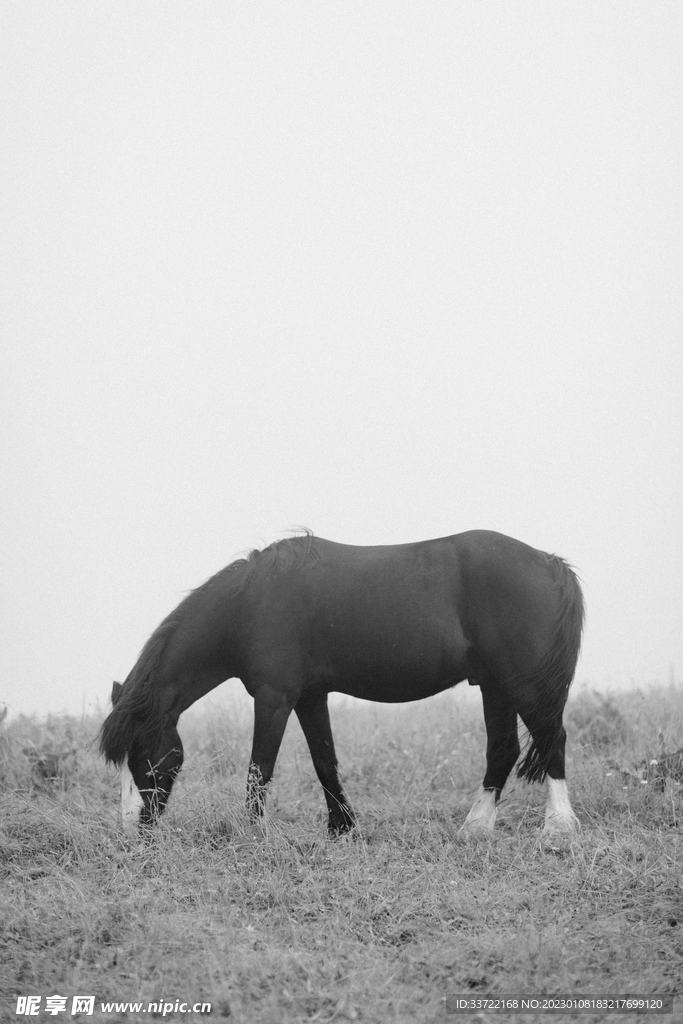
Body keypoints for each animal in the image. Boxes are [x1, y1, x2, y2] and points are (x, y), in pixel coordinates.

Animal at [100, 530, 584, 842]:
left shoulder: (274, 698)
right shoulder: (310, 697)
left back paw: (557, 827)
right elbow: (324, 761)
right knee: (503, 750)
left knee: (552, 739)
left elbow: (260, 769)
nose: (132, 832)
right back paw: (475, 829)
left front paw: (253, 834)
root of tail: (550, 563)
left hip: (524, 685)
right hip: (495, 686)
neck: (250, 605)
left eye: (142, 756)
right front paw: (341, 828)